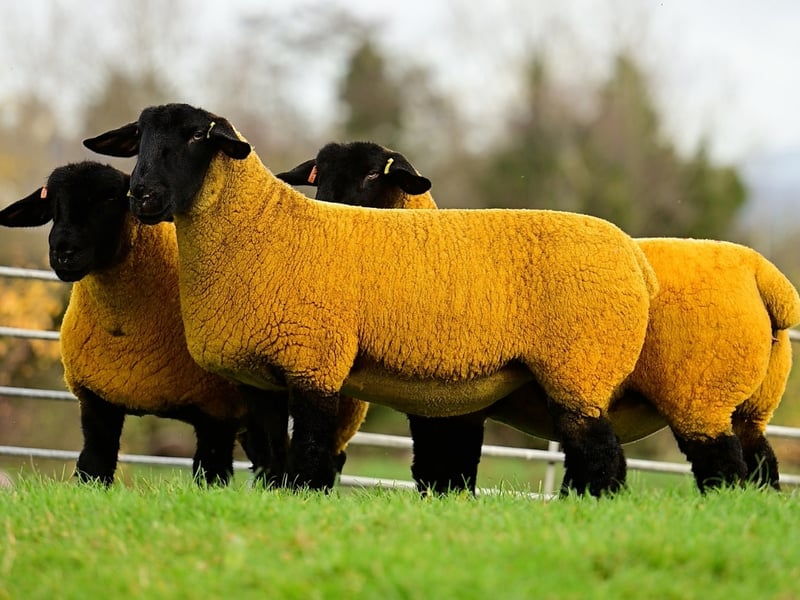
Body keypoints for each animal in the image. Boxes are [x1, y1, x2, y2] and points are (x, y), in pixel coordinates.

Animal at [83, 102, 659, 496]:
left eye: (195, 138)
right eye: (139, 139)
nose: (141, 196)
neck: (264, 231)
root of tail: (635, 258)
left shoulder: (315, 359)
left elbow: (309, 450)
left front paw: (302, 499)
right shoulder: (260, 375)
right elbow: (271, 455)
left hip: (579, 366)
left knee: (604, 458)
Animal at [299, 143, 800, 494]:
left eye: (370, 175)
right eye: (317, 178)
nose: (327, 215)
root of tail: (765, 277)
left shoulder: (448, 399)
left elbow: (443, 469)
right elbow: (445, 472)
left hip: (698, 393)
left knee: (722, 466)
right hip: (750, 406)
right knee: (762, 466)